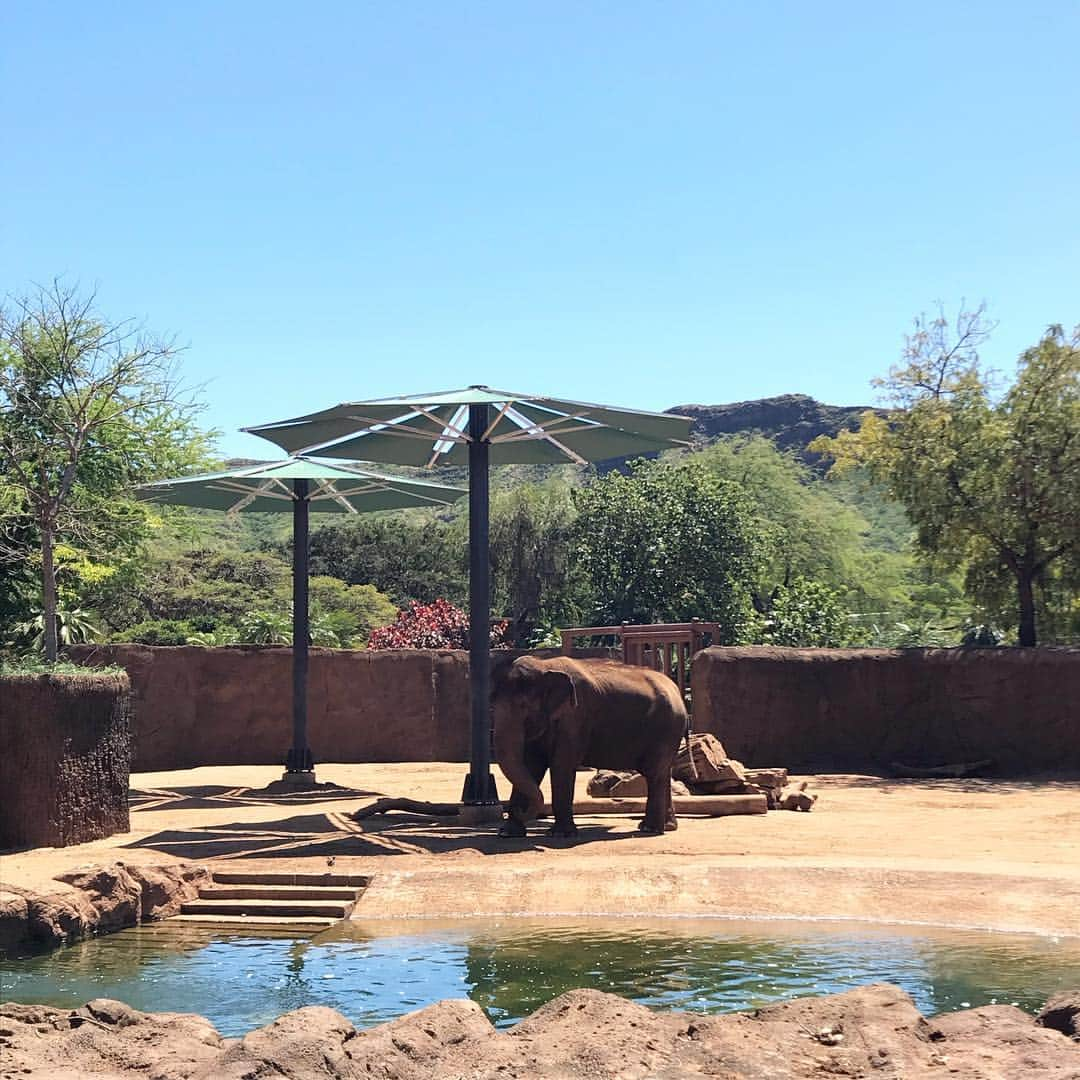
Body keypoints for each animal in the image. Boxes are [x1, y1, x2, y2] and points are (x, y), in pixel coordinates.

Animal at [494, 652, 686, 838]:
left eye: (523, 706)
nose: (521, 811)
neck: (545, 665)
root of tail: (677, 690)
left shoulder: (575, 716)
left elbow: (561, 764)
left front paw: (560, 834)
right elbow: (531, 765)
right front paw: (508, 833)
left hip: (666, 729)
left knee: (654, 773)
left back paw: (649, 829)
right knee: (663, 773)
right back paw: (665, 827)